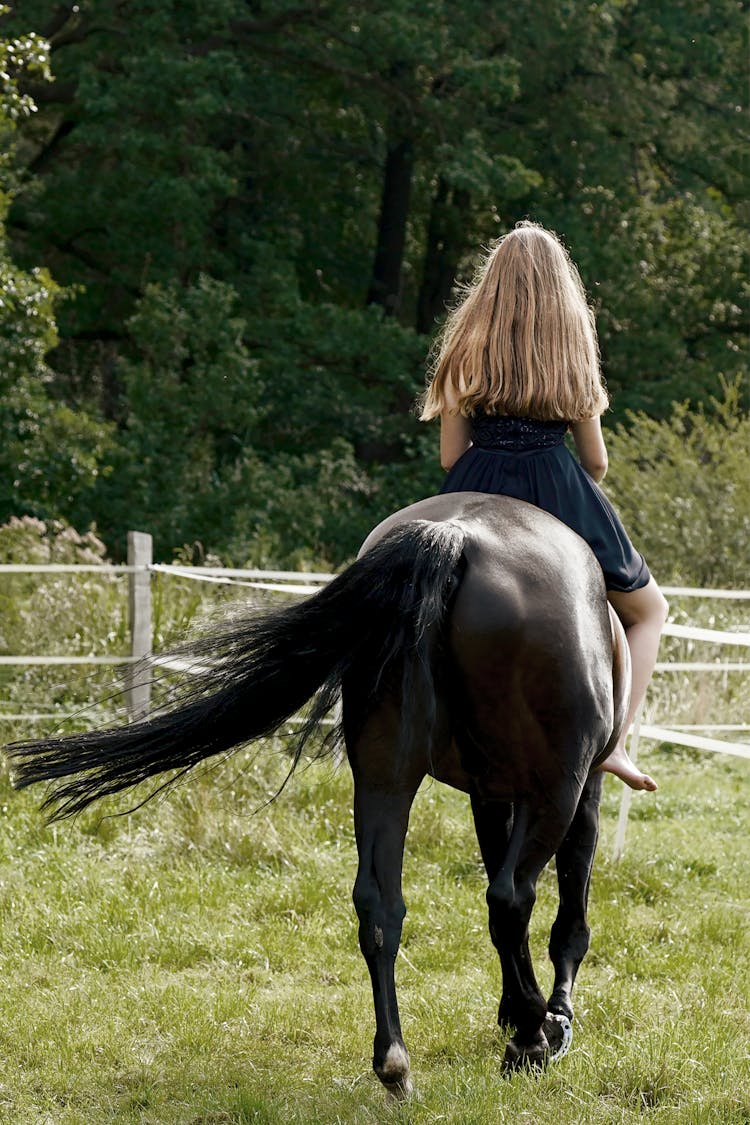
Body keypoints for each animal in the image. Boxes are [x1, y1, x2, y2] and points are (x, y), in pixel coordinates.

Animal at [7, 497, 629, 1093]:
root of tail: (452, 537)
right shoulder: (581, 784)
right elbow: (570, 905)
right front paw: (552, 1017)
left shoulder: (491, 791)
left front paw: (511, 1010)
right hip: (552, 788)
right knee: (509, 898)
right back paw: (530, 1040)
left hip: (385, 776)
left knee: (380, 904)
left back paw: (397, 1063)